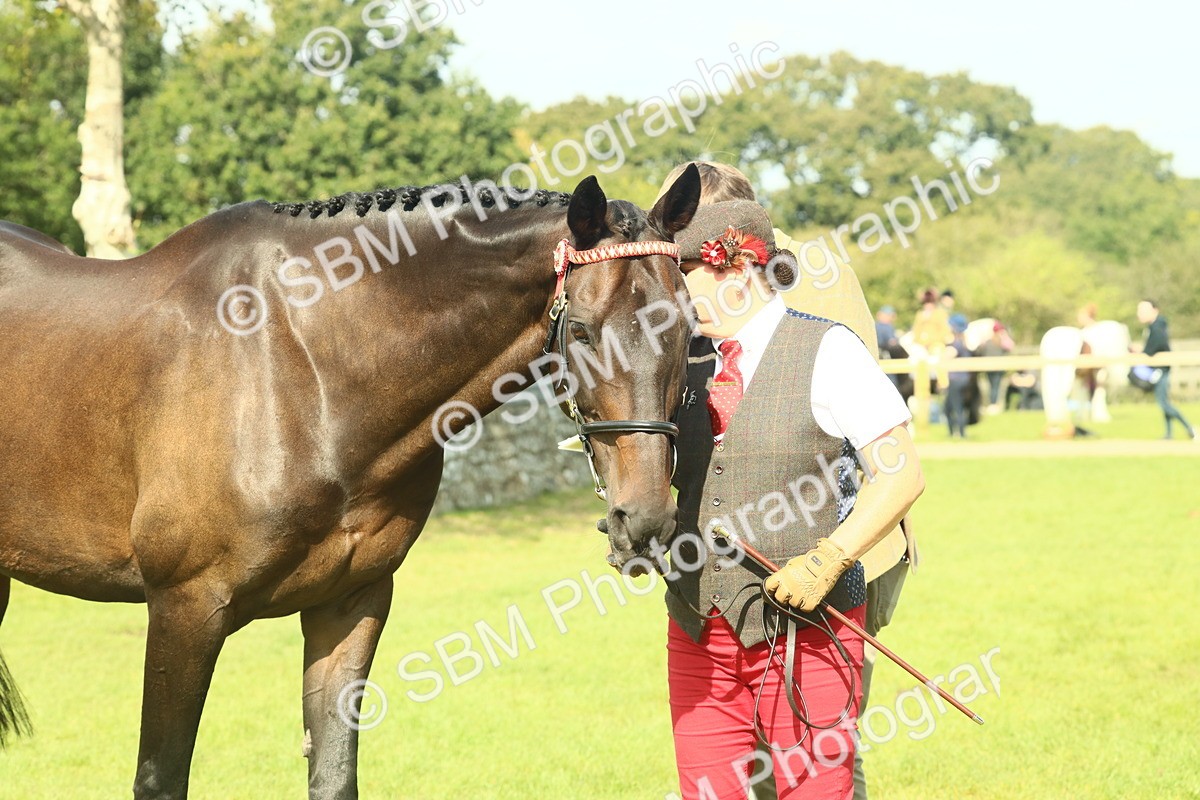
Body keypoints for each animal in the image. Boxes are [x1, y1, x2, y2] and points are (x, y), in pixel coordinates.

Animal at [0, 164, 701, 799]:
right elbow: (160, 779)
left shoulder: (350, 603)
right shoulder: (185, 609)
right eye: (580, 329)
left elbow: (334, 774)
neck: (301, 368)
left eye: (690, 327)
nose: (644, 521)